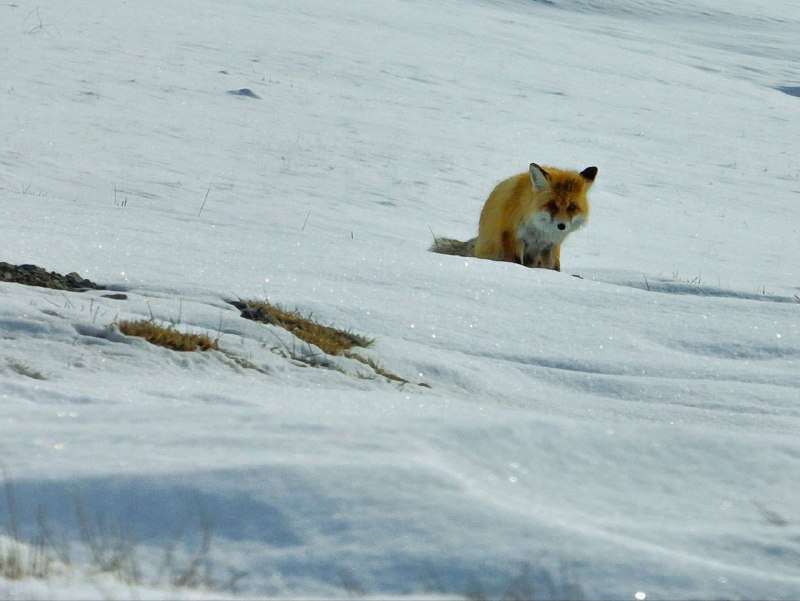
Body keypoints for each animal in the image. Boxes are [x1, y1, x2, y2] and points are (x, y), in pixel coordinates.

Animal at [432, 162, 592, 270]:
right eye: (552, 205)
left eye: (572, 207)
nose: (561, 226)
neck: (540, 232)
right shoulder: (512, 236)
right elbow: (515, 262)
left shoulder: (551, 245)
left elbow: (553, 268)